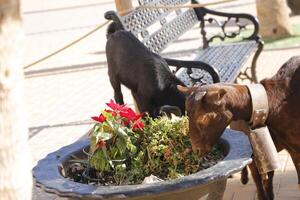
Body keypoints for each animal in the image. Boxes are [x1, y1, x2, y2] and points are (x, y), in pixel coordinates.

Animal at [178, 55, 300, 199]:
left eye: (202, 119)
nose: (196, 150)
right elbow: (260, 176)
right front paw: (263, 196)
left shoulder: (291, 146)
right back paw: (244, 178)